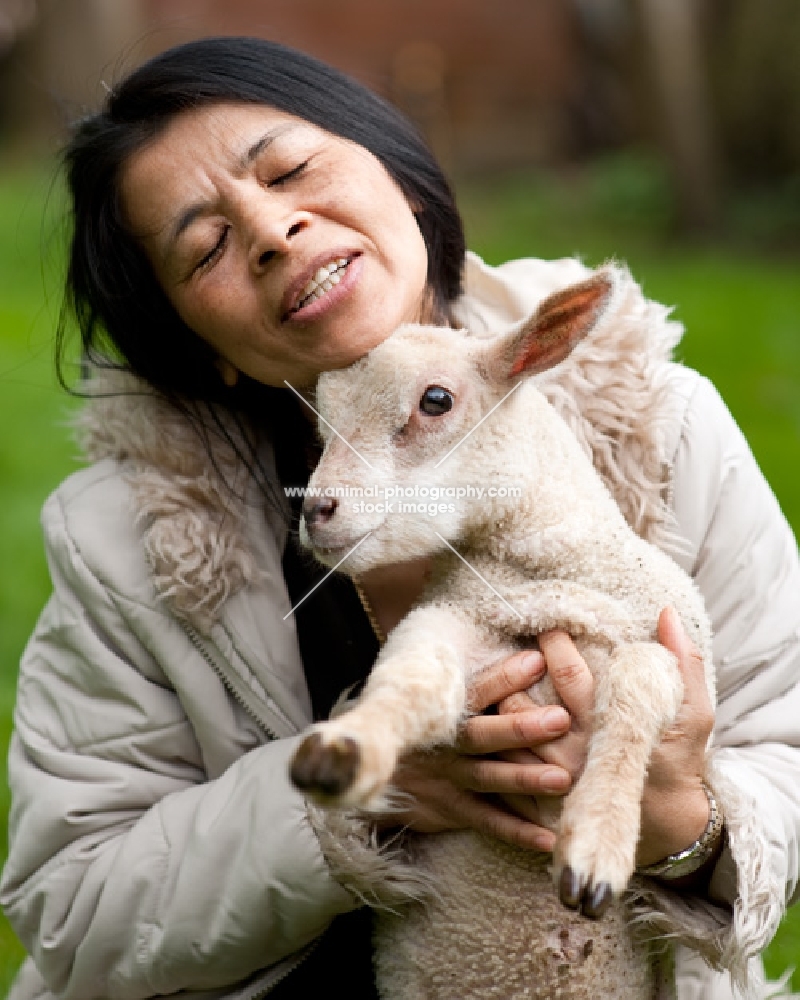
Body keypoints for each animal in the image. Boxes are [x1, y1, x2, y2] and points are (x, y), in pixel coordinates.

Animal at [290, 268, 716, 1000]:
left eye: (436, 400)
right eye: (321, 422)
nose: (318, 510)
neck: (542, 577)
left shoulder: (669, 651)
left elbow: (633, 696)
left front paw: (596, 844)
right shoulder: (454, 622)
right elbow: (415, 680)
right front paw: (347, 749)